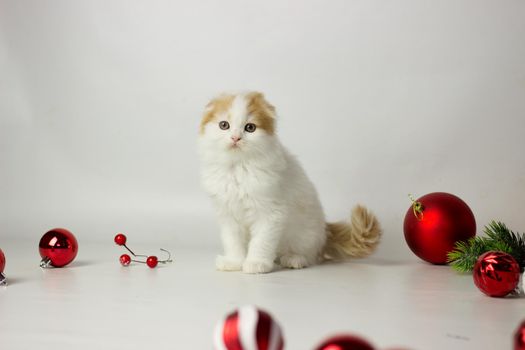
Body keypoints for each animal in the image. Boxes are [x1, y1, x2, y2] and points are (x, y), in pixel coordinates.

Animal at [199, 92, 378, 274]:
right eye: (224, 125)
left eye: (250, 128)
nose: (235, 138)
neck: (238, 168)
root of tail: (326, 231)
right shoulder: (228, 214)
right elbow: (233, 242)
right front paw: (234, 262)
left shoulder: (270, 213)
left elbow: (261, 242)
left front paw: (256, 263)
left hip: (306, 235)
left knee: (310, 255)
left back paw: (294, 259)